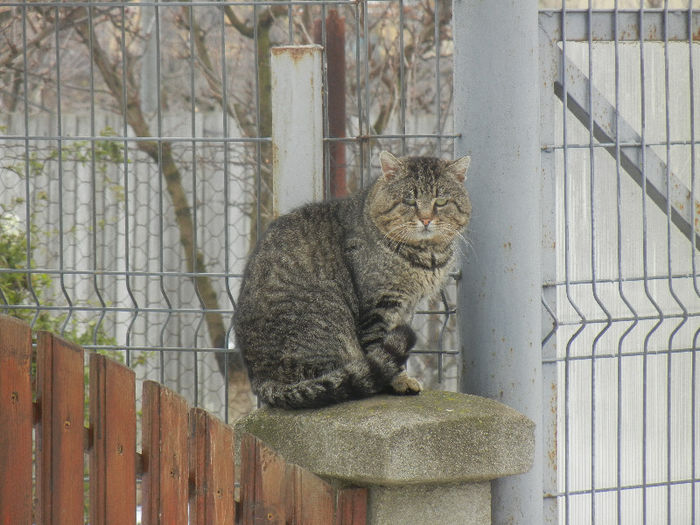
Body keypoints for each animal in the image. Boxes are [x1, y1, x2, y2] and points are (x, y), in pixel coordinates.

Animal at [234, 149, 470, 408]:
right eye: (409, 201)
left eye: (441, 201)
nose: (426, 220)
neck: (427, 256)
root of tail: (260, 377)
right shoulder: (379, 304)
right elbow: (379, 345)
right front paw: (398, 381)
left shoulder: (406, 307)